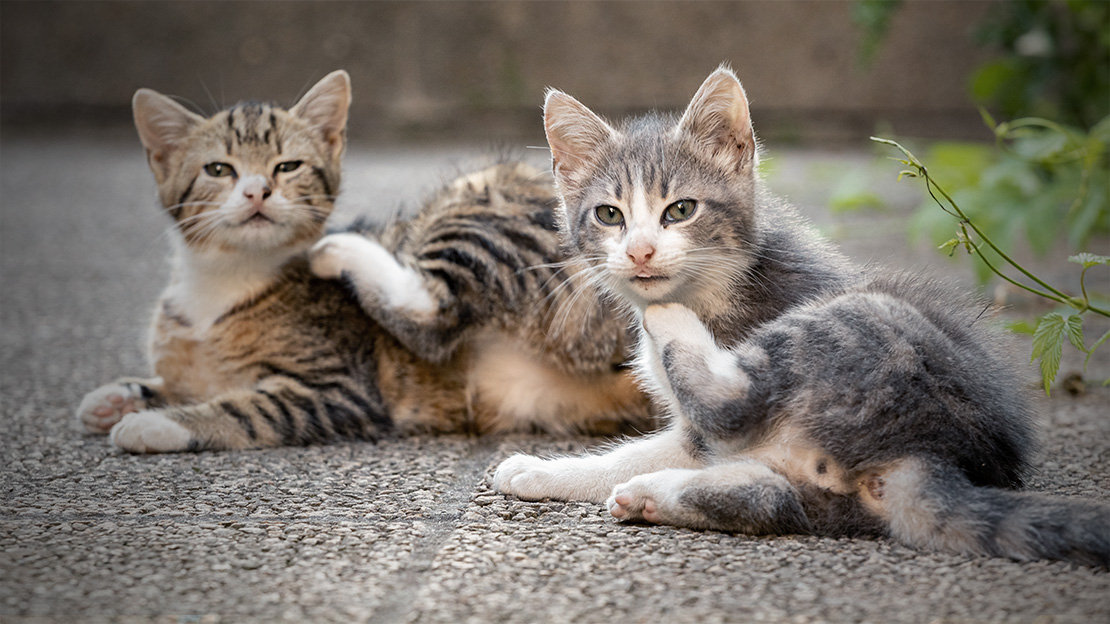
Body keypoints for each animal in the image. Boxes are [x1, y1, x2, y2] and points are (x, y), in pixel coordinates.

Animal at [76, 70, 648, 450]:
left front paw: (160, 423)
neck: (221, 280)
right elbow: (176, 381)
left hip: (480, 193)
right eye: (218, 169)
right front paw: (118, 397)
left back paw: (343, 251)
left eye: (287, 167)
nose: (258, 191)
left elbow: (250, 408)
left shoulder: (341, 389)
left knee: (434, 315)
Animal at [497, 65, 1110, 566]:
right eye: (609, 215)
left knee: (732, 399)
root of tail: (935, 453)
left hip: (852, 318)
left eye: (681, 210)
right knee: (773, 499)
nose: (641, 252)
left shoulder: (707, 425)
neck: (716, 287)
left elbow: (667, 435)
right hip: (820, 482)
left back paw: (669, 332)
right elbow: (640, 454)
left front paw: (541, 467)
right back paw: (653, 494)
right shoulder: (700, 444)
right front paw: (546, 471)